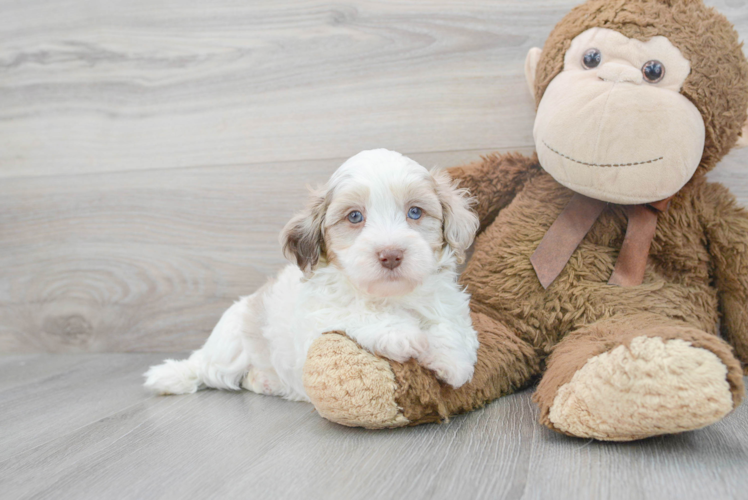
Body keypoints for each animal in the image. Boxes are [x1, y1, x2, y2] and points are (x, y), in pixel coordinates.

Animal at [143, 149, 480, 402]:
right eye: (354, 216)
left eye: (415, 212)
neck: (389, 295)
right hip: (230, 348)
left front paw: (451, 360)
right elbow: (356, 312)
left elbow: (450, 325)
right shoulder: (321, 316)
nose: (391, 255)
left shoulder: (447, 303)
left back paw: (264, 381)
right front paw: (402, 333)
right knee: (208, 370)